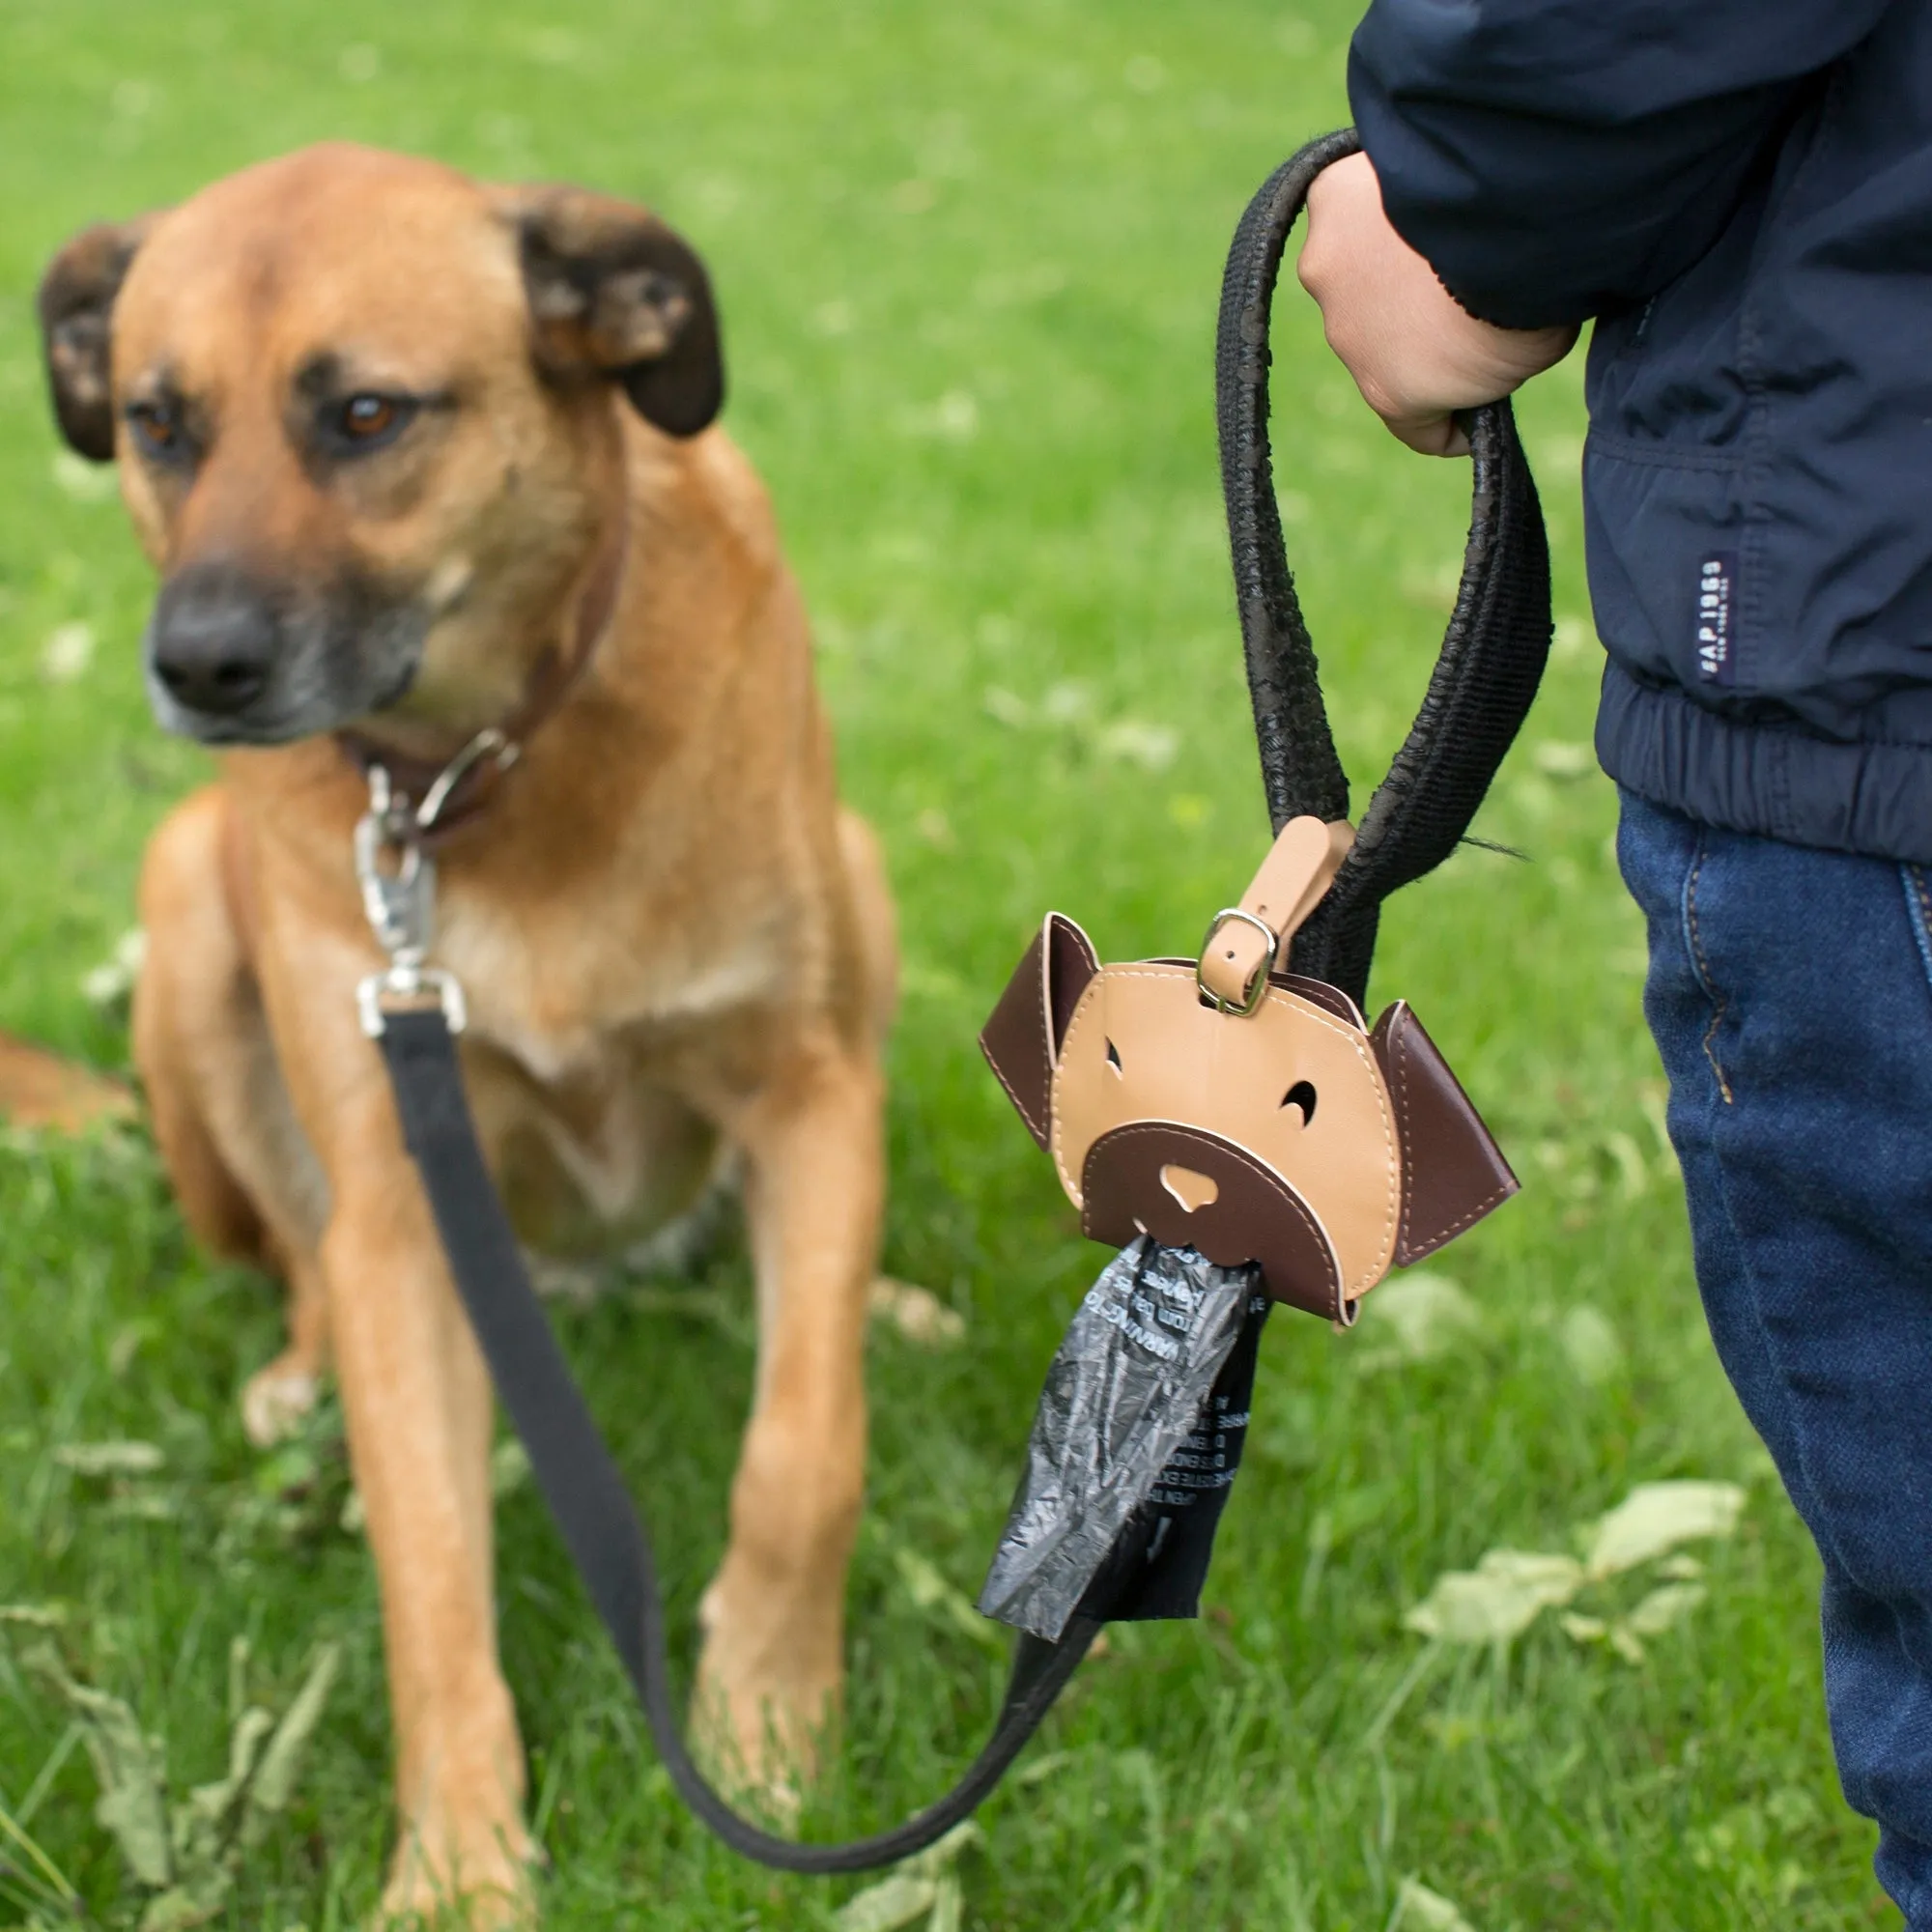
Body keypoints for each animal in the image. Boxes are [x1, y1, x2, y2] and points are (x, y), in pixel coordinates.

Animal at [38, 143, 896, 1924]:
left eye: (367, 414)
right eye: (158, 421)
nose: (199, 666)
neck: (480, 777)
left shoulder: (810, 1093)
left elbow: (804, 1453)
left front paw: (769, 1726)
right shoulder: (398, 1211)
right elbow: (429, 1569)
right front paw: (457, 1868)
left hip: (863, 877)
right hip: (189, 903)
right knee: (296, 1277)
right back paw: (291, 1383)